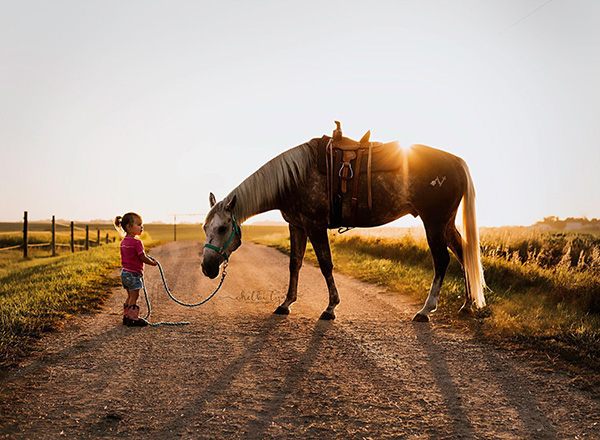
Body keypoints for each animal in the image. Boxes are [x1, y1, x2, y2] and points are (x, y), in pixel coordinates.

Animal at [203, 122, 488, 322]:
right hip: (446, 223)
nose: (207, 268)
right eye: (205, 228)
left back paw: (426, 310)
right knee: (463, 253)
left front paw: (330, 308)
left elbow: (325, 264)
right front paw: (286, 304)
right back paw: (467, 305)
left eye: (223, 228)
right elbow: (294, 265)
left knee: (442, 260)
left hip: (434, 223)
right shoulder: (297, 226)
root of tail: (456, 161)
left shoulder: (315, 225)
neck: (295, 177)